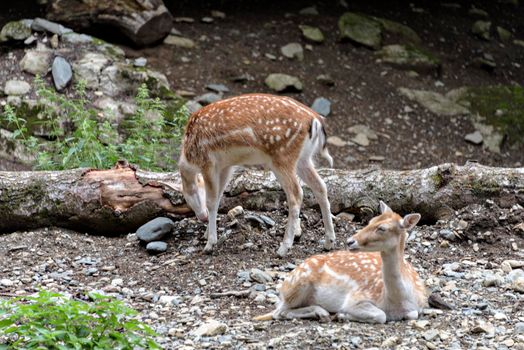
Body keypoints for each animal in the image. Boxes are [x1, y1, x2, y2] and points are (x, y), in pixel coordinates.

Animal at [179, 93, 336, 258]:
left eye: (191, 192)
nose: (201, 217)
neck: (189, 155)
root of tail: (315, 120)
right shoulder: (226, 166)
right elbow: (218, 198)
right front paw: (207, 235)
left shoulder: (208, 162)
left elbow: (210, 201)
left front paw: (209, 244)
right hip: (304, 158)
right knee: (321, 186)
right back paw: (329, 242)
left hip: (282, 157)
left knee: (296, 194)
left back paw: (284, 248)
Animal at [256, 201, 428, 324]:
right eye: (370, 220)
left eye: (382, 228)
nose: (350, 241)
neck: (397, 301)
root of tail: (283, 287)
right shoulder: (355, 298)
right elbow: (381, 316)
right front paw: (342, 315)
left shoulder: (418, 306)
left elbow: (412, 314)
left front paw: (340, 315)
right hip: (298, 284)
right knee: (278, 312)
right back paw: (322, 312)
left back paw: (321, 313)